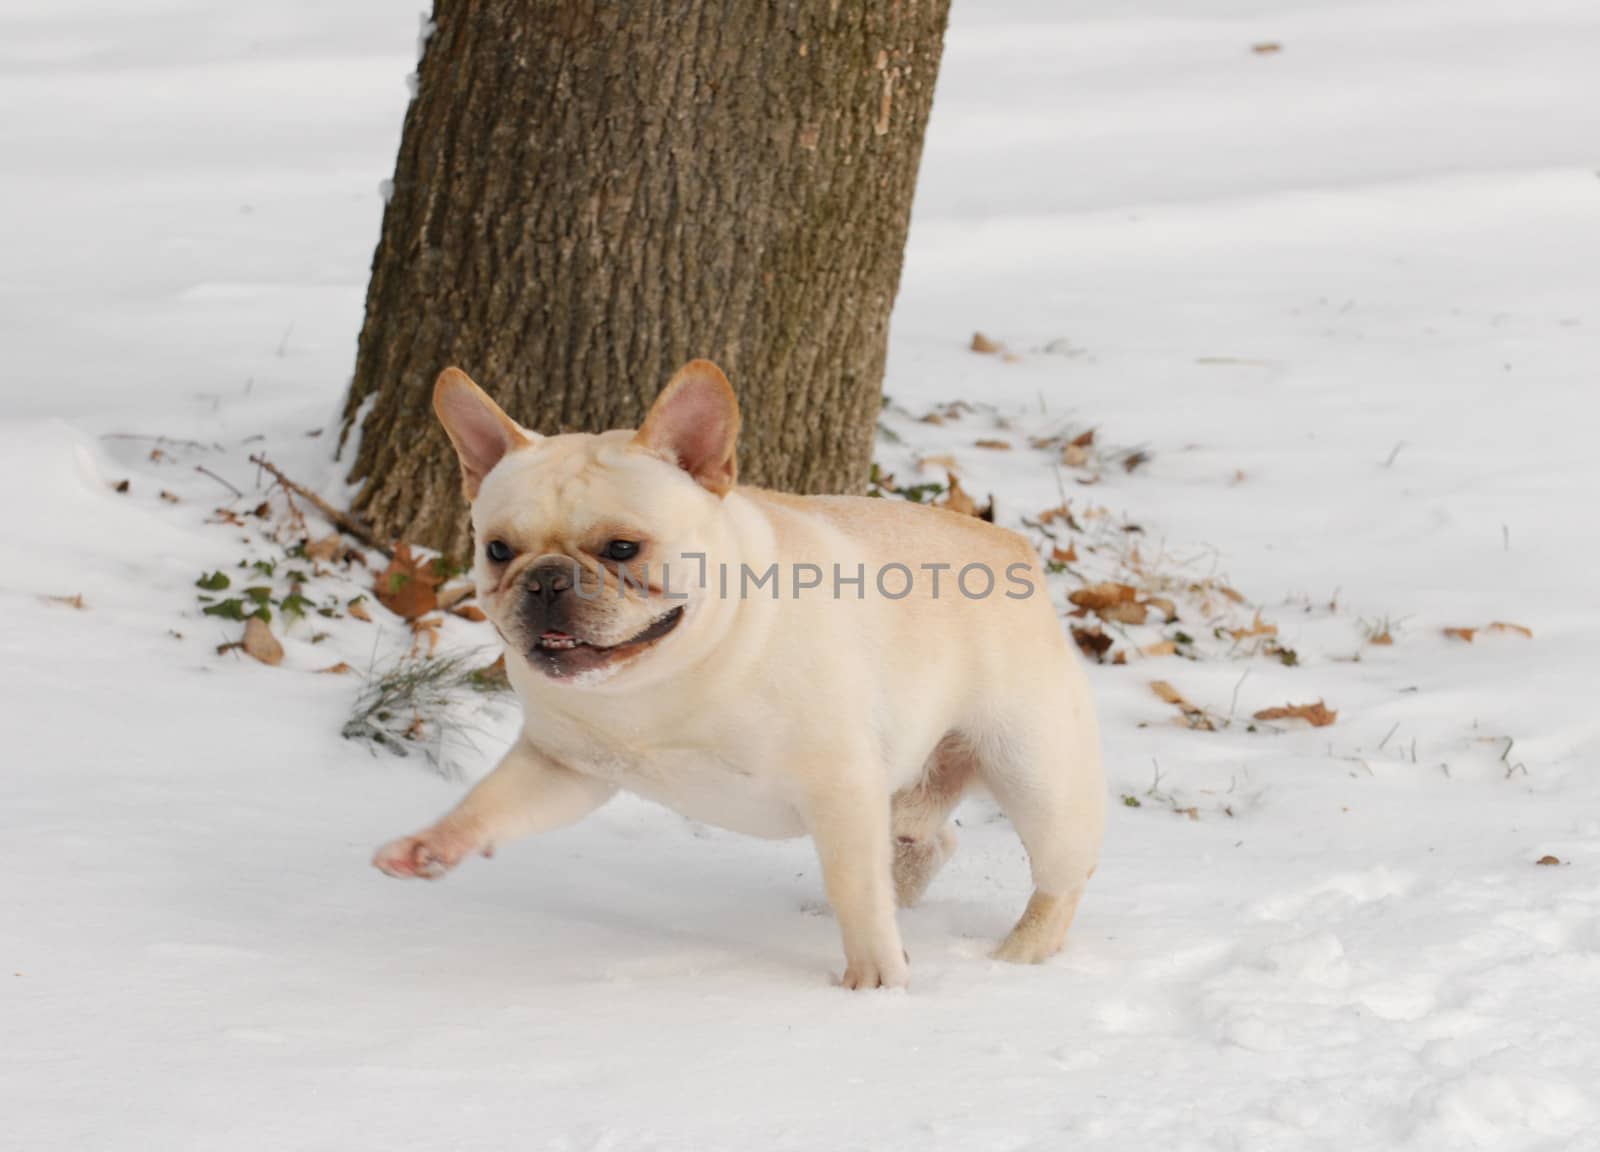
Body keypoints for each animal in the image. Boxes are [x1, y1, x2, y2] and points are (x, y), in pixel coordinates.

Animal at [372, 361, 1100, 992]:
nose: (547, 579)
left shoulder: (839, 785)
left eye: (623, 549)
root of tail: (1011, 547)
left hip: (1033, 774)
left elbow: (856, 889)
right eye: (497, 550)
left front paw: (876, 980)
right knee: (929, 841)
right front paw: (435, 845)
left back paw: (1021, 953)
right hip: (906, 784)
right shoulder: (563, 768)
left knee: (1061, 876)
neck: (658, 679)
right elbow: (491, 803)